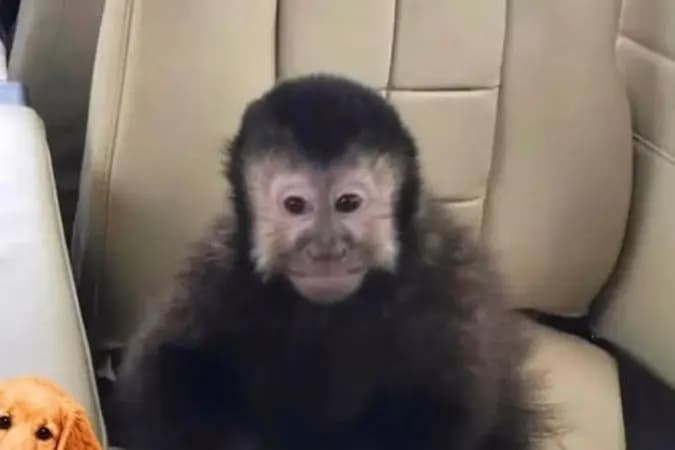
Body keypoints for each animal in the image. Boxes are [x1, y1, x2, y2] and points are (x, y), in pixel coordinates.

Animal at [116, 74, 548, 450]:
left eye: (348, 203)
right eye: (295, 206)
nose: (326, 249)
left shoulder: (448, 282)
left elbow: (448, 405)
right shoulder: (215, 273)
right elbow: (166, 369)